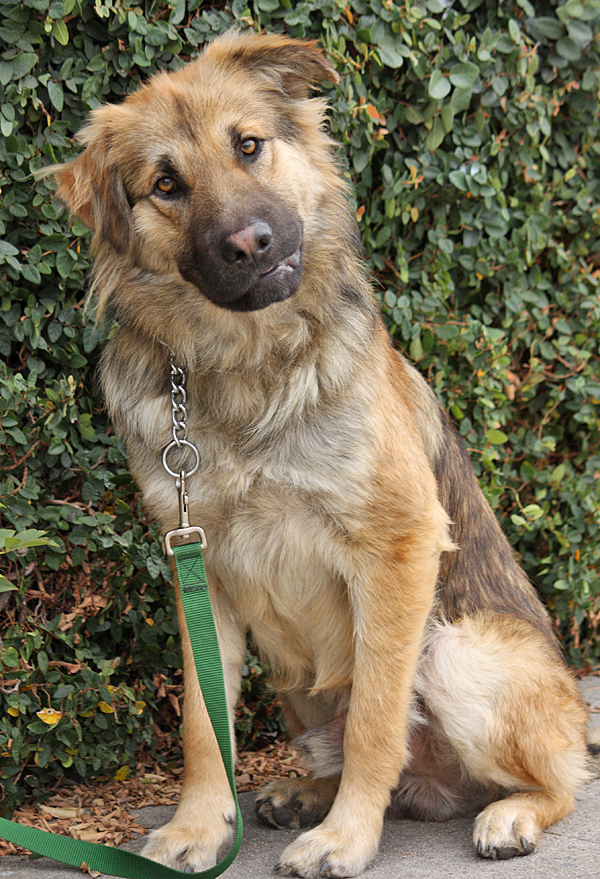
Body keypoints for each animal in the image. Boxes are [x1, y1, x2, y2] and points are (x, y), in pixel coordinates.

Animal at [50, 30, 599, 879]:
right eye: (166, 183)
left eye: (248, 146)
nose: (249, 244)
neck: (245, 363)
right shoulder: (197, 560)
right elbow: (204, 721)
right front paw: (198, 824)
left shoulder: (399, 547)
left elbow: (376, 717)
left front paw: (346, 837)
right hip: (294, 670)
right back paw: (305, 790)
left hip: (454, 651)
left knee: (553, 775)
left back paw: (509, 812)